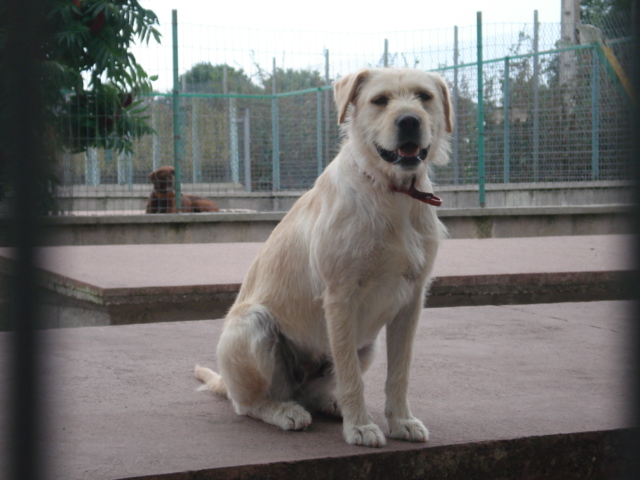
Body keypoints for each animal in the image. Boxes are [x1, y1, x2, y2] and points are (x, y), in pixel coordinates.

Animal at [194, 67, 450, 446]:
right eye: (379, 100)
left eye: (425, 97)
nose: (409, 120)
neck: (390, 191)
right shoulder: (341, 297)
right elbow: (351, 376)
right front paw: (360, 427)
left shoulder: (411, 300)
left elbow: (399, 372)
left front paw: (401, 420)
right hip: (253, 325)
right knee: (250, 403)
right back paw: (284, 411)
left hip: (369, 344)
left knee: (316, 392)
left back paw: (331, 404)